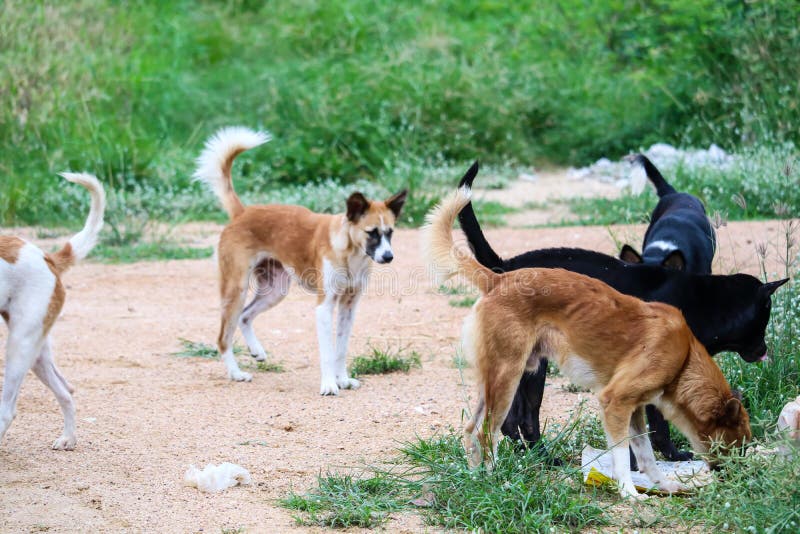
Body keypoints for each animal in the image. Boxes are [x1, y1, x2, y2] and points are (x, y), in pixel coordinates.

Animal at [0, 174, 105, 450]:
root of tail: (46, 257)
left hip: (20, 344)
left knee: (8, 410)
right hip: (37, 353)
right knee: (67, 391)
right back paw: (69, 437)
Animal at [194, 127, 406, 396]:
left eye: (390, 233)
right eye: (372, 233)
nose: (388, 256)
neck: (350, 254)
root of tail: (242, 212)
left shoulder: (349, 305)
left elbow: (341, 349)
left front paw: (343, 380)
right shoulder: (324, 307)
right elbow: (327, 353)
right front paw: (329, 385)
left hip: (275, 291)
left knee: (245, 316)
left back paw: (256, 351)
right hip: (236, 289)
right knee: (223, 337)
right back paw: (236, 373)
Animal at [456, 161, 788, 462]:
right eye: (763, 320)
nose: (764, 350)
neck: (705, 300)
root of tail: (504, 269)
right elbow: (657, 427)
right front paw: (669, 455)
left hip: (527, 364)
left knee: (511, 420)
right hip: (529, 367)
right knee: (521, 418)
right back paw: (543, 457)